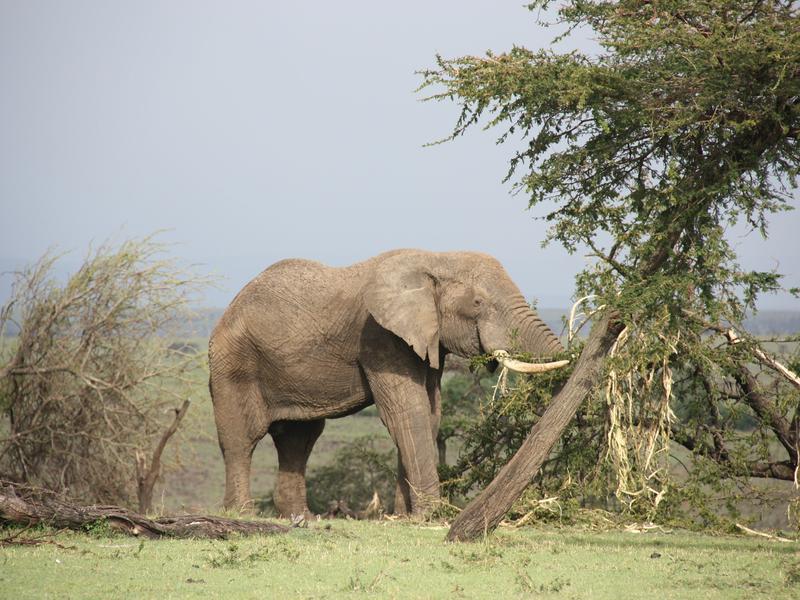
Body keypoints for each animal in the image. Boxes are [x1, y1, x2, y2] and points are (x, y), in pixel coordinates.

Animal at [209, 247, 564, 516]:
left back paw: (300, 518)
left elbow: (430, 415)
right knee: (241, 439)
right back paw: (243, 514)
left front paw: (404, 517)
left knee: (298, 441)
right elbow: (408, 414)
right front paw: (431, 516)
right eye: (478, 303)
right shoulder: (379, 337)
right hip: (232, 362)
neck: (435, 258)